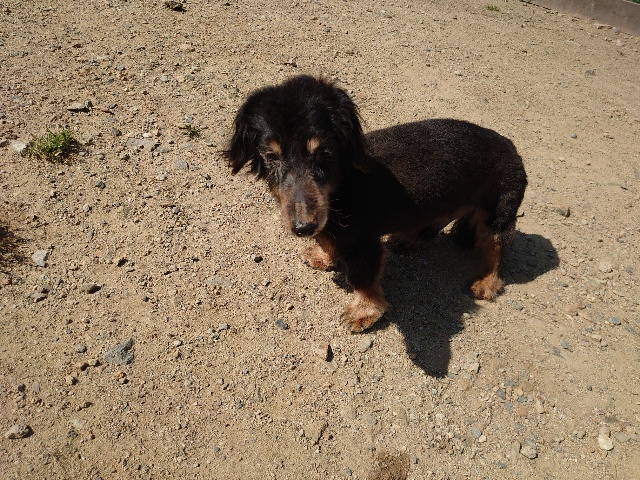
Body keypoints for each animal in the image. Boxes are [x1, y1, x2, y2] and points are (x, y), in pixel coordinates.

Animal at [226, 75, 527, 332]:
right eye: (270, 156)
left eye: (323, 152)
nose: (303, 228)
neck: (343, 185)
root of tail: (511, 146)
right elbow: (330, 243)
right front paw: (324, 256)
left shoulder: (363, 242)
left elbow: (364, 279)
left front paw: (365, 312)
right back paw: (408, 239)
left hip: (497, 213)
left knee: (496, 249)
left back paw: (486, 281)